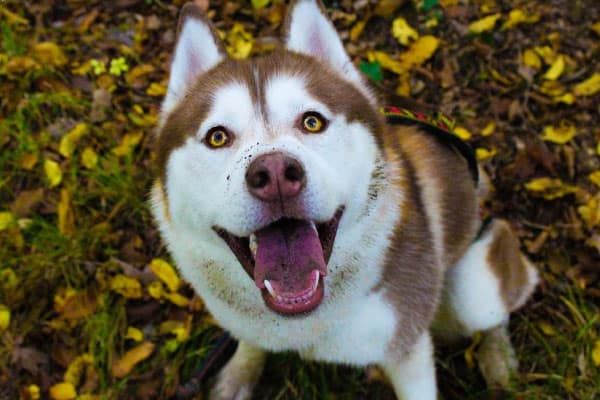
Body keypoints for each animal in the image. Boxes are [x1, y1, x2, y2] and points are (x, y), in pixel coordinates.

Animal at [151, 1, 540, 398]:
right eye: (217, 137)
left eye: (312, 122)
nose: (275, 175)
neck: (305, 320)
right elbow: (250, 343)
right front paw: (238, 374)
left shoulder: (408, 346)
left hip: (474, 286)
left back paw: (498, 356)